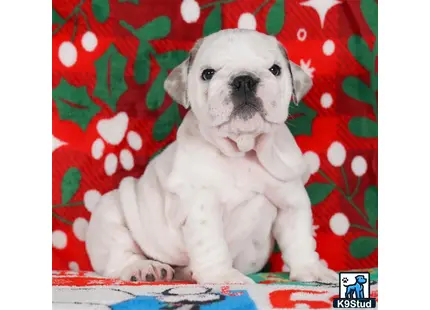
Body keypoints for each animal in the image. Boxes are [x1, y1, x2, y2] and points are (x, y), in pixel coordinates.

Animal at [85, 28, 338, 284]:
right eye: (208, 73)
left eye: (275, 69)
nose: (244, 80)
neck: (244, 150)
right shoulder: (202, 205)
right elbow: (212, 245)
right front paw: (223, 276)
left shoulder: (292, 200)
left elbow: (300, 239)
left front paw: (311, 269)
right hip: (110, 213)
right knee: (119, 256)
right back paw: (145, 268)